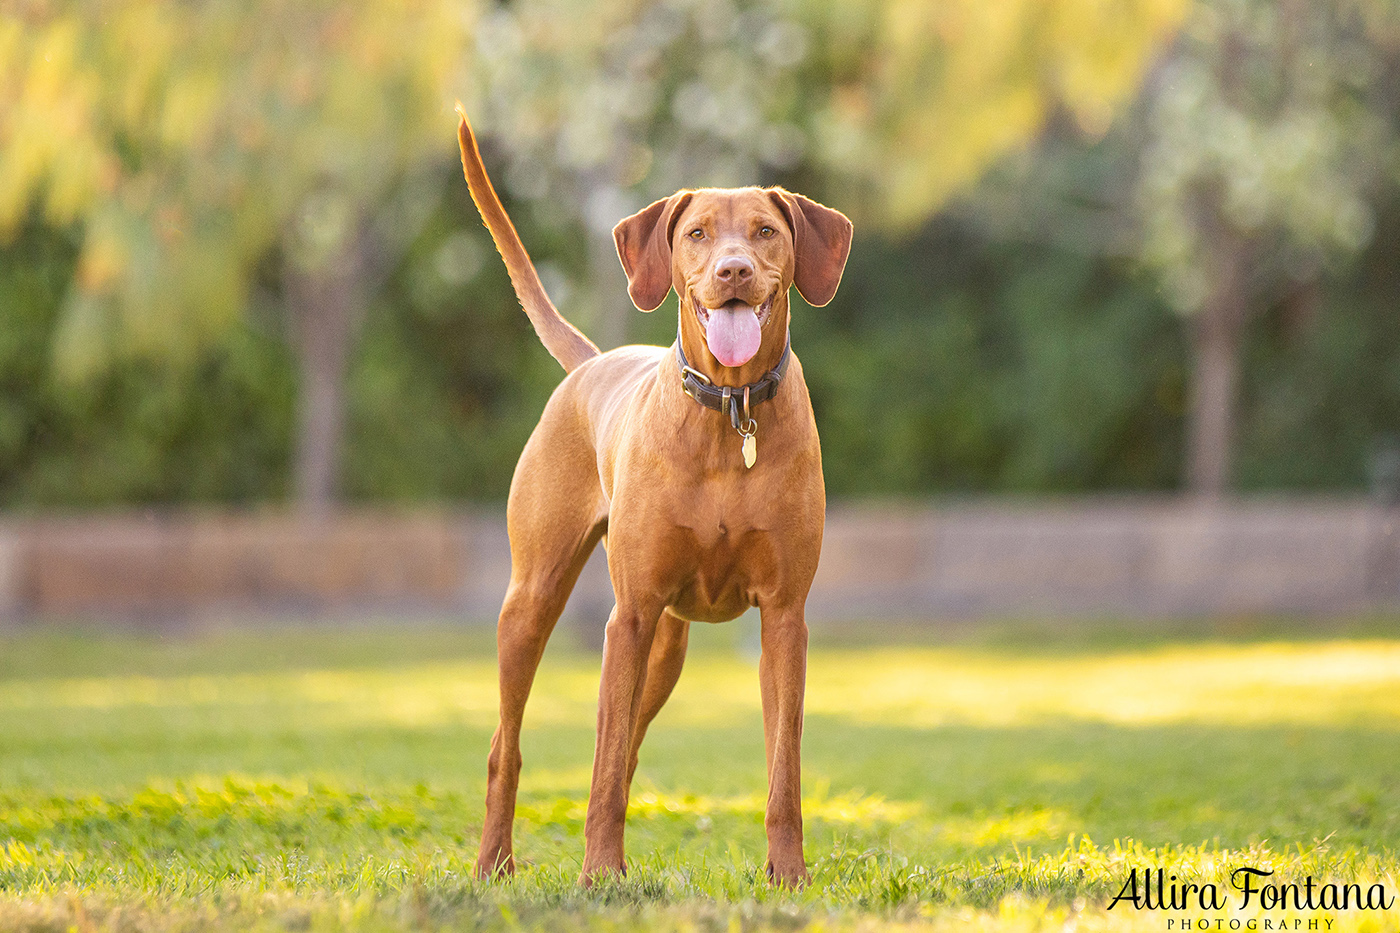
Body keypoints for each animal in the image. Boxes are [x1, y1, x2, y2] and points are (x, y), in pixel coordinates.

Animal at [459, 105, 851, 885]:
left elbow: (783, 772)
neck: (730, 417)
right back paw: (494, 863)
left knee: (626, 745)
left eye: (766, 231)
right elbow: (604, 770)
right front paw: (599, 875)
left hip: (667, 646)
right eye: (697, 232)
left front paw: (787, 874)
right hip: (534, 603)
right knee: (509, 748)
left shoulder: (784, 619)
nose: (734, 270)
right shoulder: (630, 615)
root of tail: (592, 361)